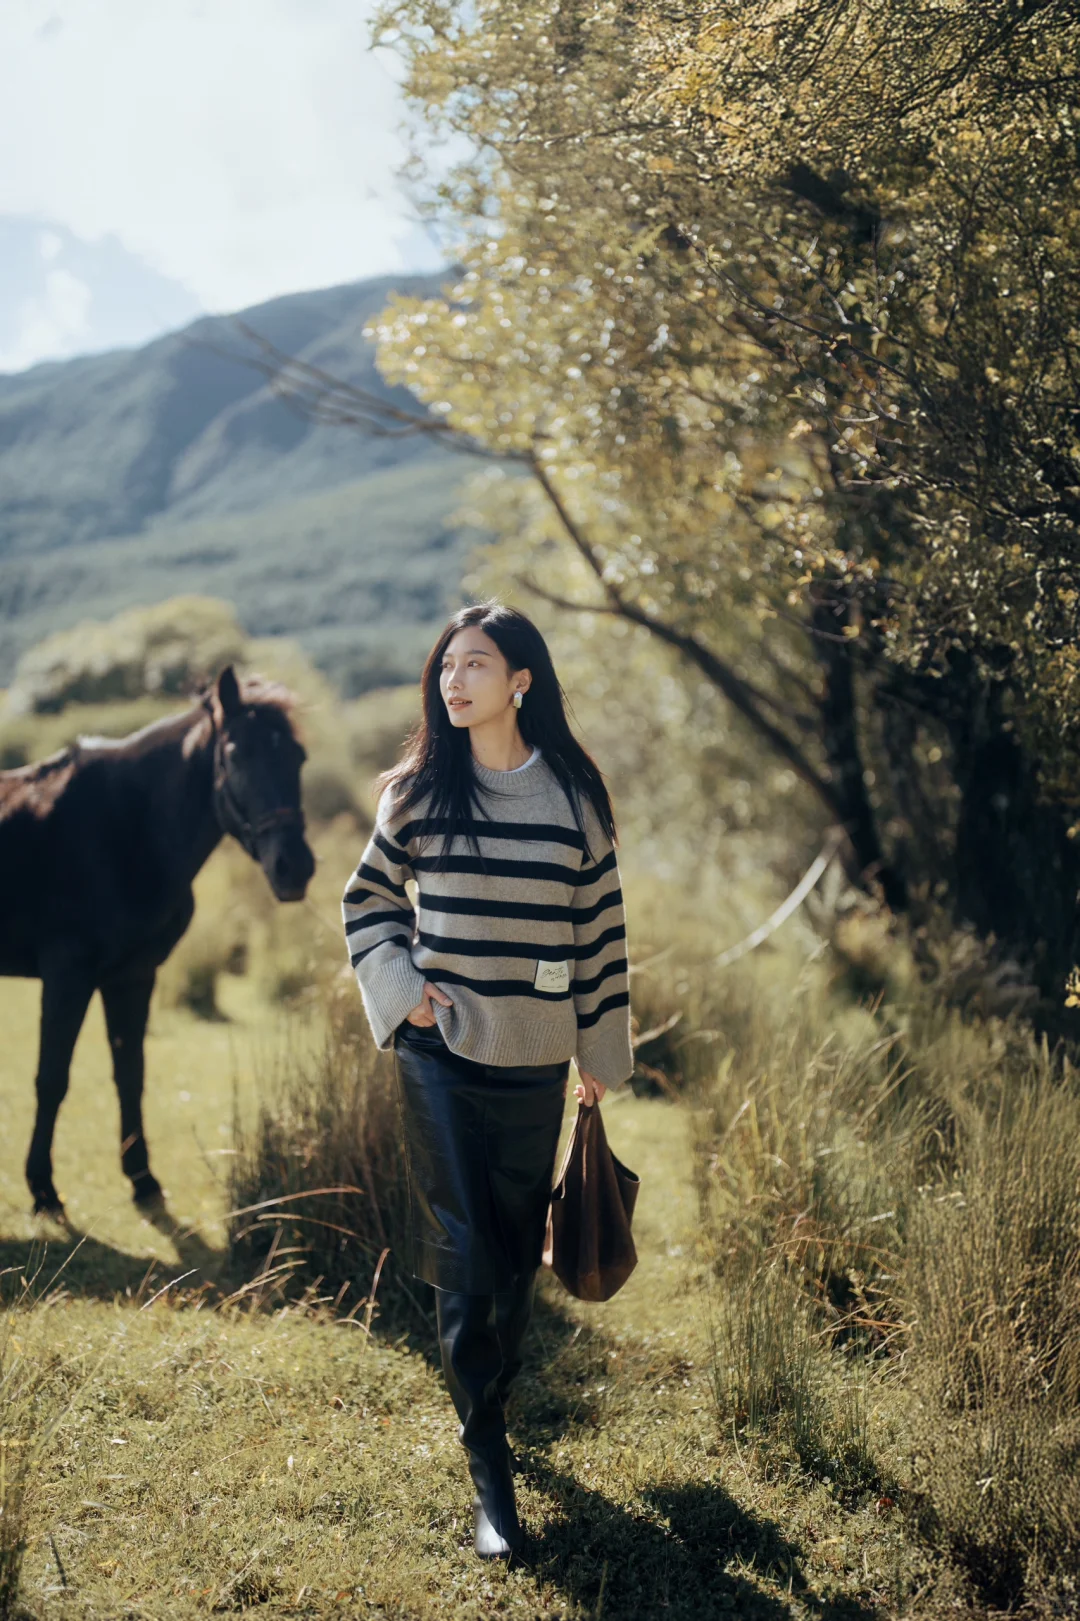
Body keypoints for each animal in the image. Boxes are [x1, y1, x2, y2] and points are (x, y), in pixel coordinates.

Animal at [2, 664, 316, 1212]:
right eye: (237, 755)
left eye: (297, 757)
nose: (293, 868)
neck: (129, 830)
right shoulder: (67, 976)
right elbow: (52, 1077)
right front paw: (42, 1187)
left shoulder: (133, 976)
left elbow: (131, 1074)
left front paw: (142, 1177)